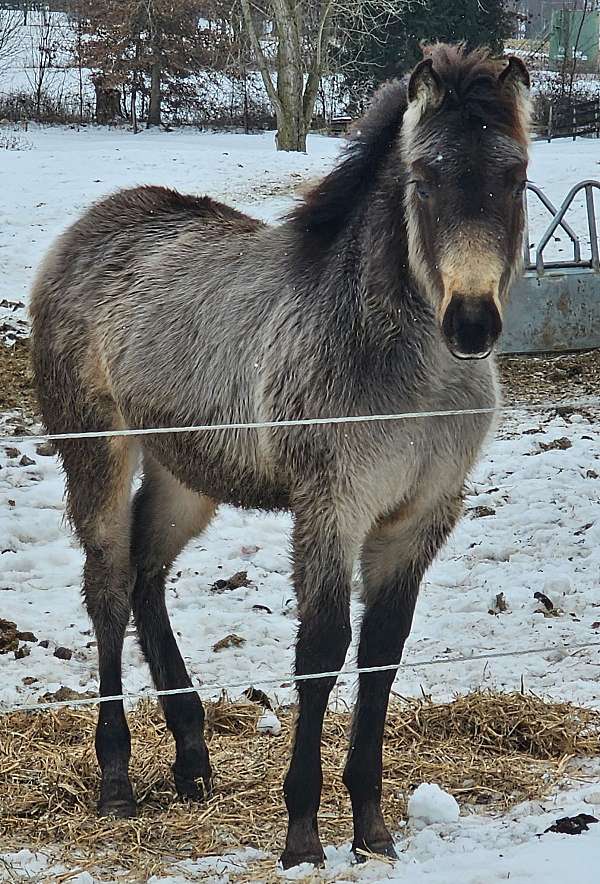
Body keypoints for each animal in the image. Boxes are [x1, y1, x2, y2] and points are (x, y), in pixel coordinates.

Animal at [31, 45, 528, 868]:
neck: (413, 373)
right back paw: (118, 783)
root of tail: (83, 233)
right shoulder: (332, 508)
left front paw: (373, 829)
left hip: (186, 475)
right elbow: (321, 650)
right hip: (100, 454)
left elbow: (383, 651)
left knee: (145, 576)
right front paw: (302, 835)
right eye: (425, 176)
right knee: (106, 590)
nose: (471, 321)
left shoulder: (418, 518)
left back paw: (192, 761)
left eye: (516, 174)